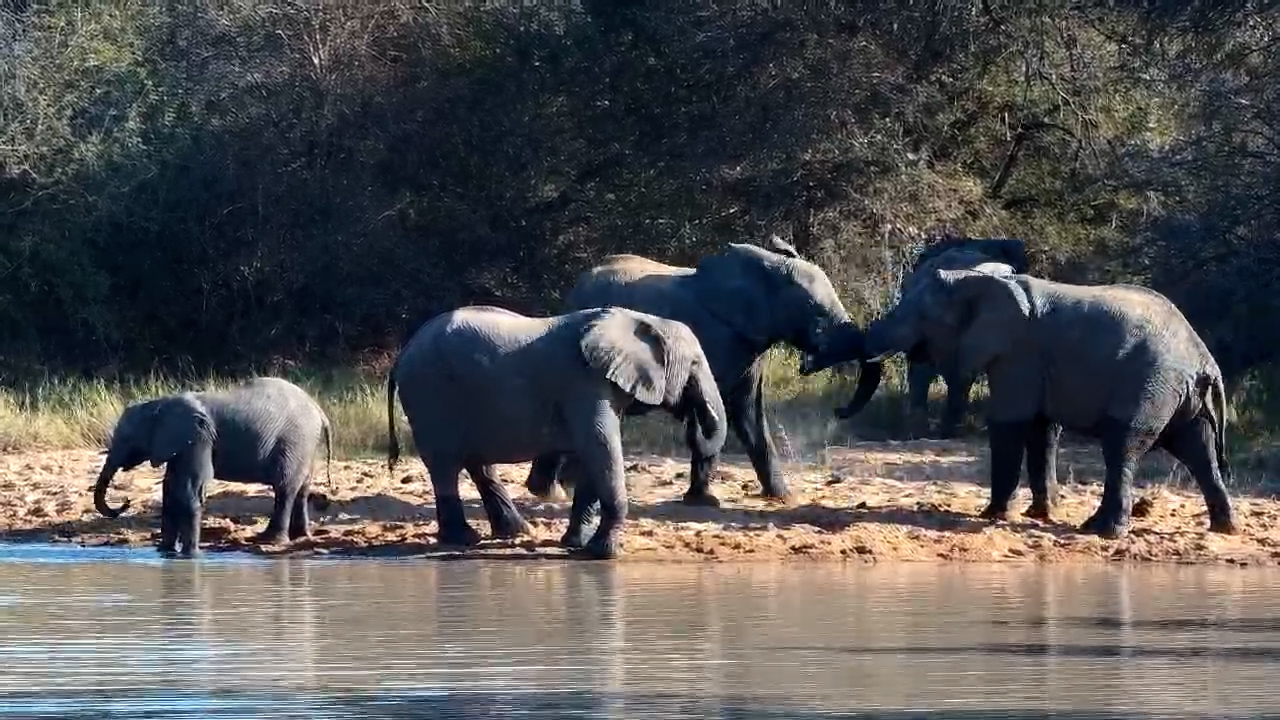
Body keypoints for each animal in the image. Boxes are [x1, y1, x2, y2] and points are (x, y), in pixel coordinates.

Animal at [93, 376, 333, 556]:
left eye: (125, 439)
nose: (126, 502)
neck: (158, 404)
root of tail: (319, 410)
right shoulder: (181, 445)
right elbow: (171, 491)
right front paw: (165, 553)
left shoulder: (198, 438)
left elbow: (189, 492)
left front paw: (191, 556)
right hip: (305, 445)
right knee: (301, 490)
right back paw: (299, 537)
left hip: (295, 441)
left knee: (284, 488)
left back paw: (270, 541)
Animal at [384, 305, 728, 560]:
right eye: (695, 364)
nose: (692, 418)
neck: (642, 320)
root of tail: (402, 354)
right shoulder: (585, 384)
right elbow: (601, 448)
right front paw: (603, 554)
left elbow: (593, 455)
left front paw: (575, 545)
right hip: (430, 395)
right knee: (446, 465)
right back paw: (464, 540)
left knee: (476, 464)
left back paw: (515, 533)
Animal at [522, 236, 880, 507]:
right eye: (815, 313)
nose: (838, 410)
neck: (765, 271)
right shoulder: (718, 339)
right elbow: (718, 410)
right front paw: (704, 501)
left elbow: (748, 413)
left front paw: (783, 498)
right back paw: (555, 492)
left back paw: (554, 491)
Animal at [834, 237, 1030, 437]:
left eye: (924, 315)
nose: (837, 411)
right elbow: (926, 368)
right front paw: (921, 431)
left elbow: (958, 373)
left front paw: (947, 432)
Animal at [861, 268, 1239, 539]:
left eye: (919, 316)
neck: (976, 278)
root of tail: (1204, 361)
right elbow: (1042, 429)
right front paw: (1039, 515)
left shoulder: (1018, 353)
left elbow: (1009, 423)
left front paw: (994, 515)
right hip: (1176, 392)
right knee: (1197, 449)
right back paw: (1224, 529)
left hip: (1151, 384)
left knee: (1124, 445)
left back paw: (1104, 532)